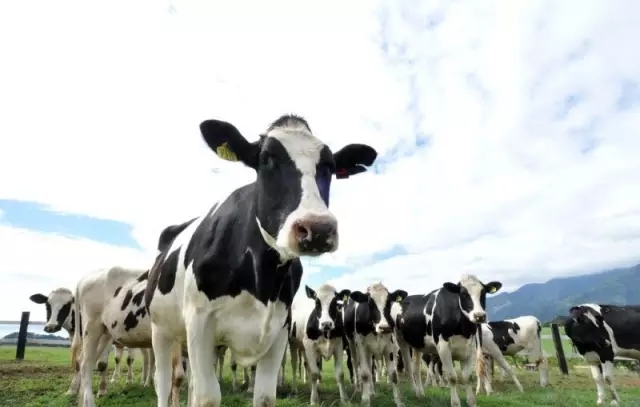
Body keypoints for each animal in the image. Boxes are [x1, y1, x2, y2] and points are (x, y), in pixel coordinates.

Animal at [144, 114, 376, 407]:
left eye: (331, 167)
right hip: (161, 330)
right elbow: (208, 397)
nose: (318, 228)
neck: (260, 280)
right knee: (163, 382)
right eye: (266, 159)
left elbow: (264, 396)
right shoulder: (199, 322)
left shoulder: (279, 330)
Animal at [398, 274, 502, 407]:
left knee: (416, 369)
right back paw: (414, 390)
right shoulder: (443, 347)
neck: (463, 330)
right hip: (400, 340)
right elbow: (452, 377)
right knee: (409, 368)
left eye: (483, 293)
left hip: (418, 344)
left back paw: (420, 393)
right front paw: (455, 403)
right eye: (463, 294)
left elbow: (467, 377)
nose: (479, 316)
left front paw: (471, 402)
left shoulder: (471, 349)